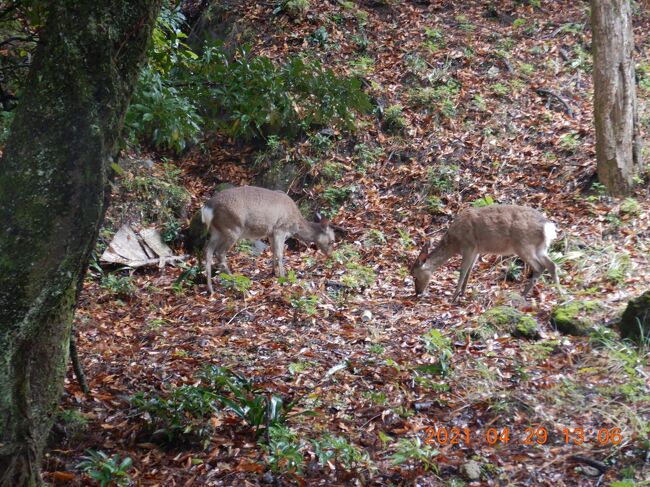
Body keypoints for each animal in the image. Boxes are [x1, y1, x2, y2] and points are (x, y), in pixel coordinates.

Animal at [184, 186, 332, 294]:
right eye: (332, 240)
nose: (330, 255)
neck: (295, 224)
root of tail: (208, 208)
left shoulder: (271, 233)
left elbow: (273, 251)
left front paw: (273, 272)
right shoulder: (280, 228)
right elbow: (280, 253)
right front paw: (283, 276)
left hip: (216, 231)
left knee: (207, 250)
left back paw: (211, 289)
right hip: (233, 228)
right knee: (219, 253)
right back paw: (237, 285)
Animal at [410, 205, 556, 302]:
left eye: (414, 276)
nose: (418, 292)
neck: (454, 243)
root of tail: (547, 227)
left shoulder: (468, 246)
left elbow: (462, 272)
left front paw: (453, 297)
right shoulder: (476, 250)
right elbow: (469, 272)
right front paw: (462, 293)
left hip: (524, 244)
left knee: (540, 267)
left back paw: (524, 294)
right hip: (540, 247)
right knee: (551, 265)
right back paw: (558, 295)